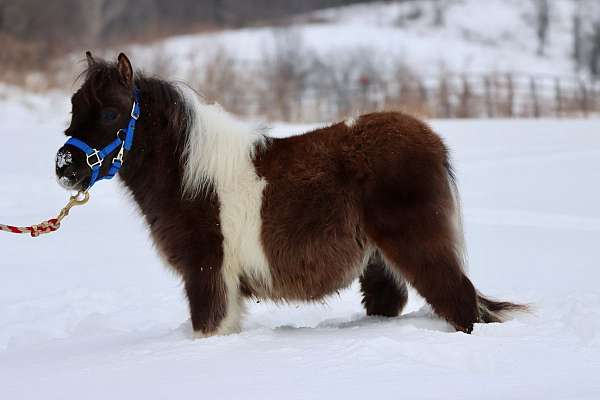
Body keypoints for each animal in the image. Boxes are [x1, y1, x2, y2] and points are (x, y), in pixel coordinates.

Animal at [56, 51, 524, 336]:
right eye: (74, 108)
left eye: (111, 113)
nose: (65, 166)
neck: (190, 175)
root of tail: (431, 141)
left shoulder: (208, 274)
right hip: (380, 264)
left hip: (417, 245)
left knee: (461, 302)